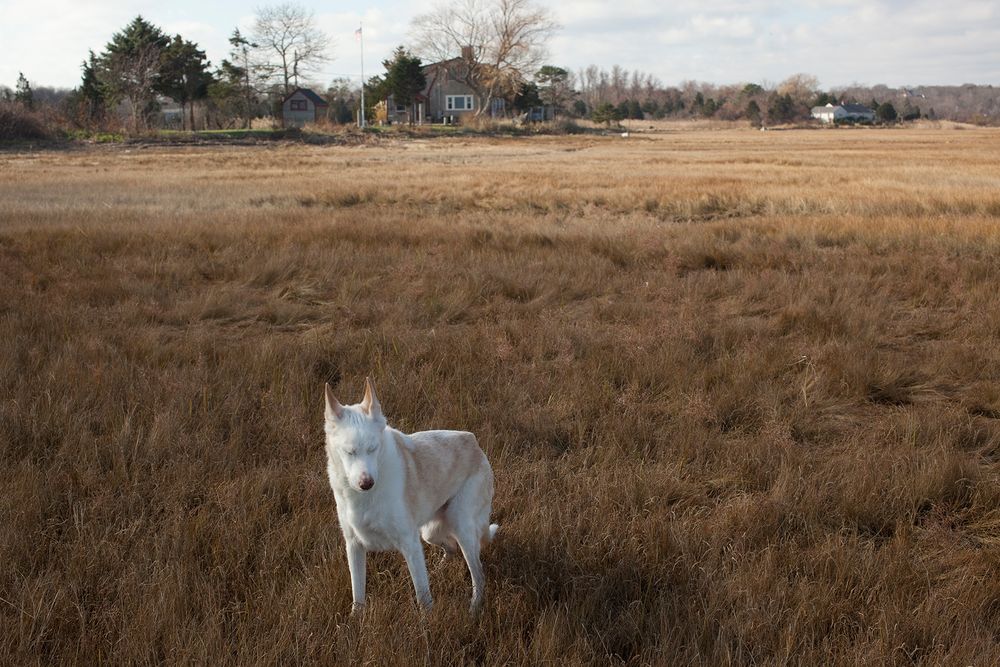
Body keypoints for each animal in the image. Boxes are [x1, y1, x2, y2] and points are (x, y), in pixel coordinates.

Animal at [322, 378, 498, 612]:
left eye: (373, 448)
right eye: (349, 452)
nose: (366, 483)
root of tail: (473, 442)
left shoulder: (409, 543)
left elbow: (423, 596)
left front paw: (428, 620)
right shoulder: (354, 545)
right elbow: (357, 594)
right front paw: (355, 618)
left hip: (461, 528)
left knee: (478, 575)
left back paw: (474, 609)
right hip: (429, 533)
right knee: (451, 548)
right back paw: (439, 571)